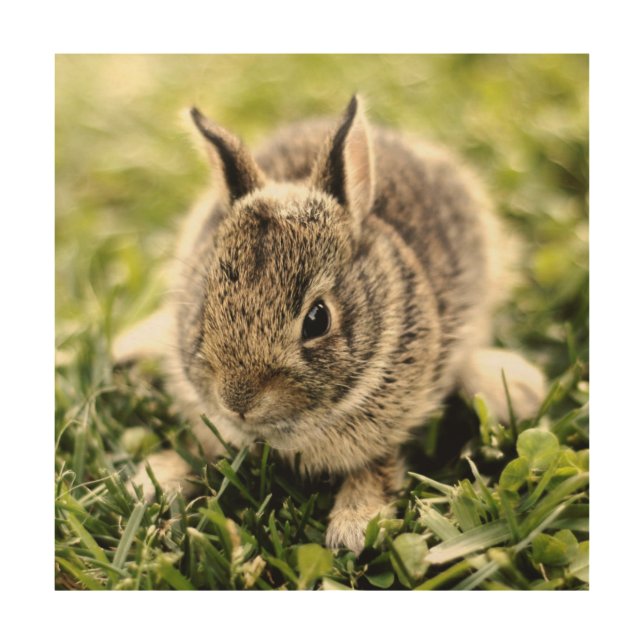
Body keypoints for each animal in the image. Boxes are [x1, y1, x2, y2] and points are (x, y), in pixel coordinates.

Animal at [112, 95, 546, 554]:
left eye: (318, 319)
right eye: (204, 303)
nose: (237, 402)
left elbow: (377, 467)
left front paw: (353, 528)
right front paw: (153, 480)